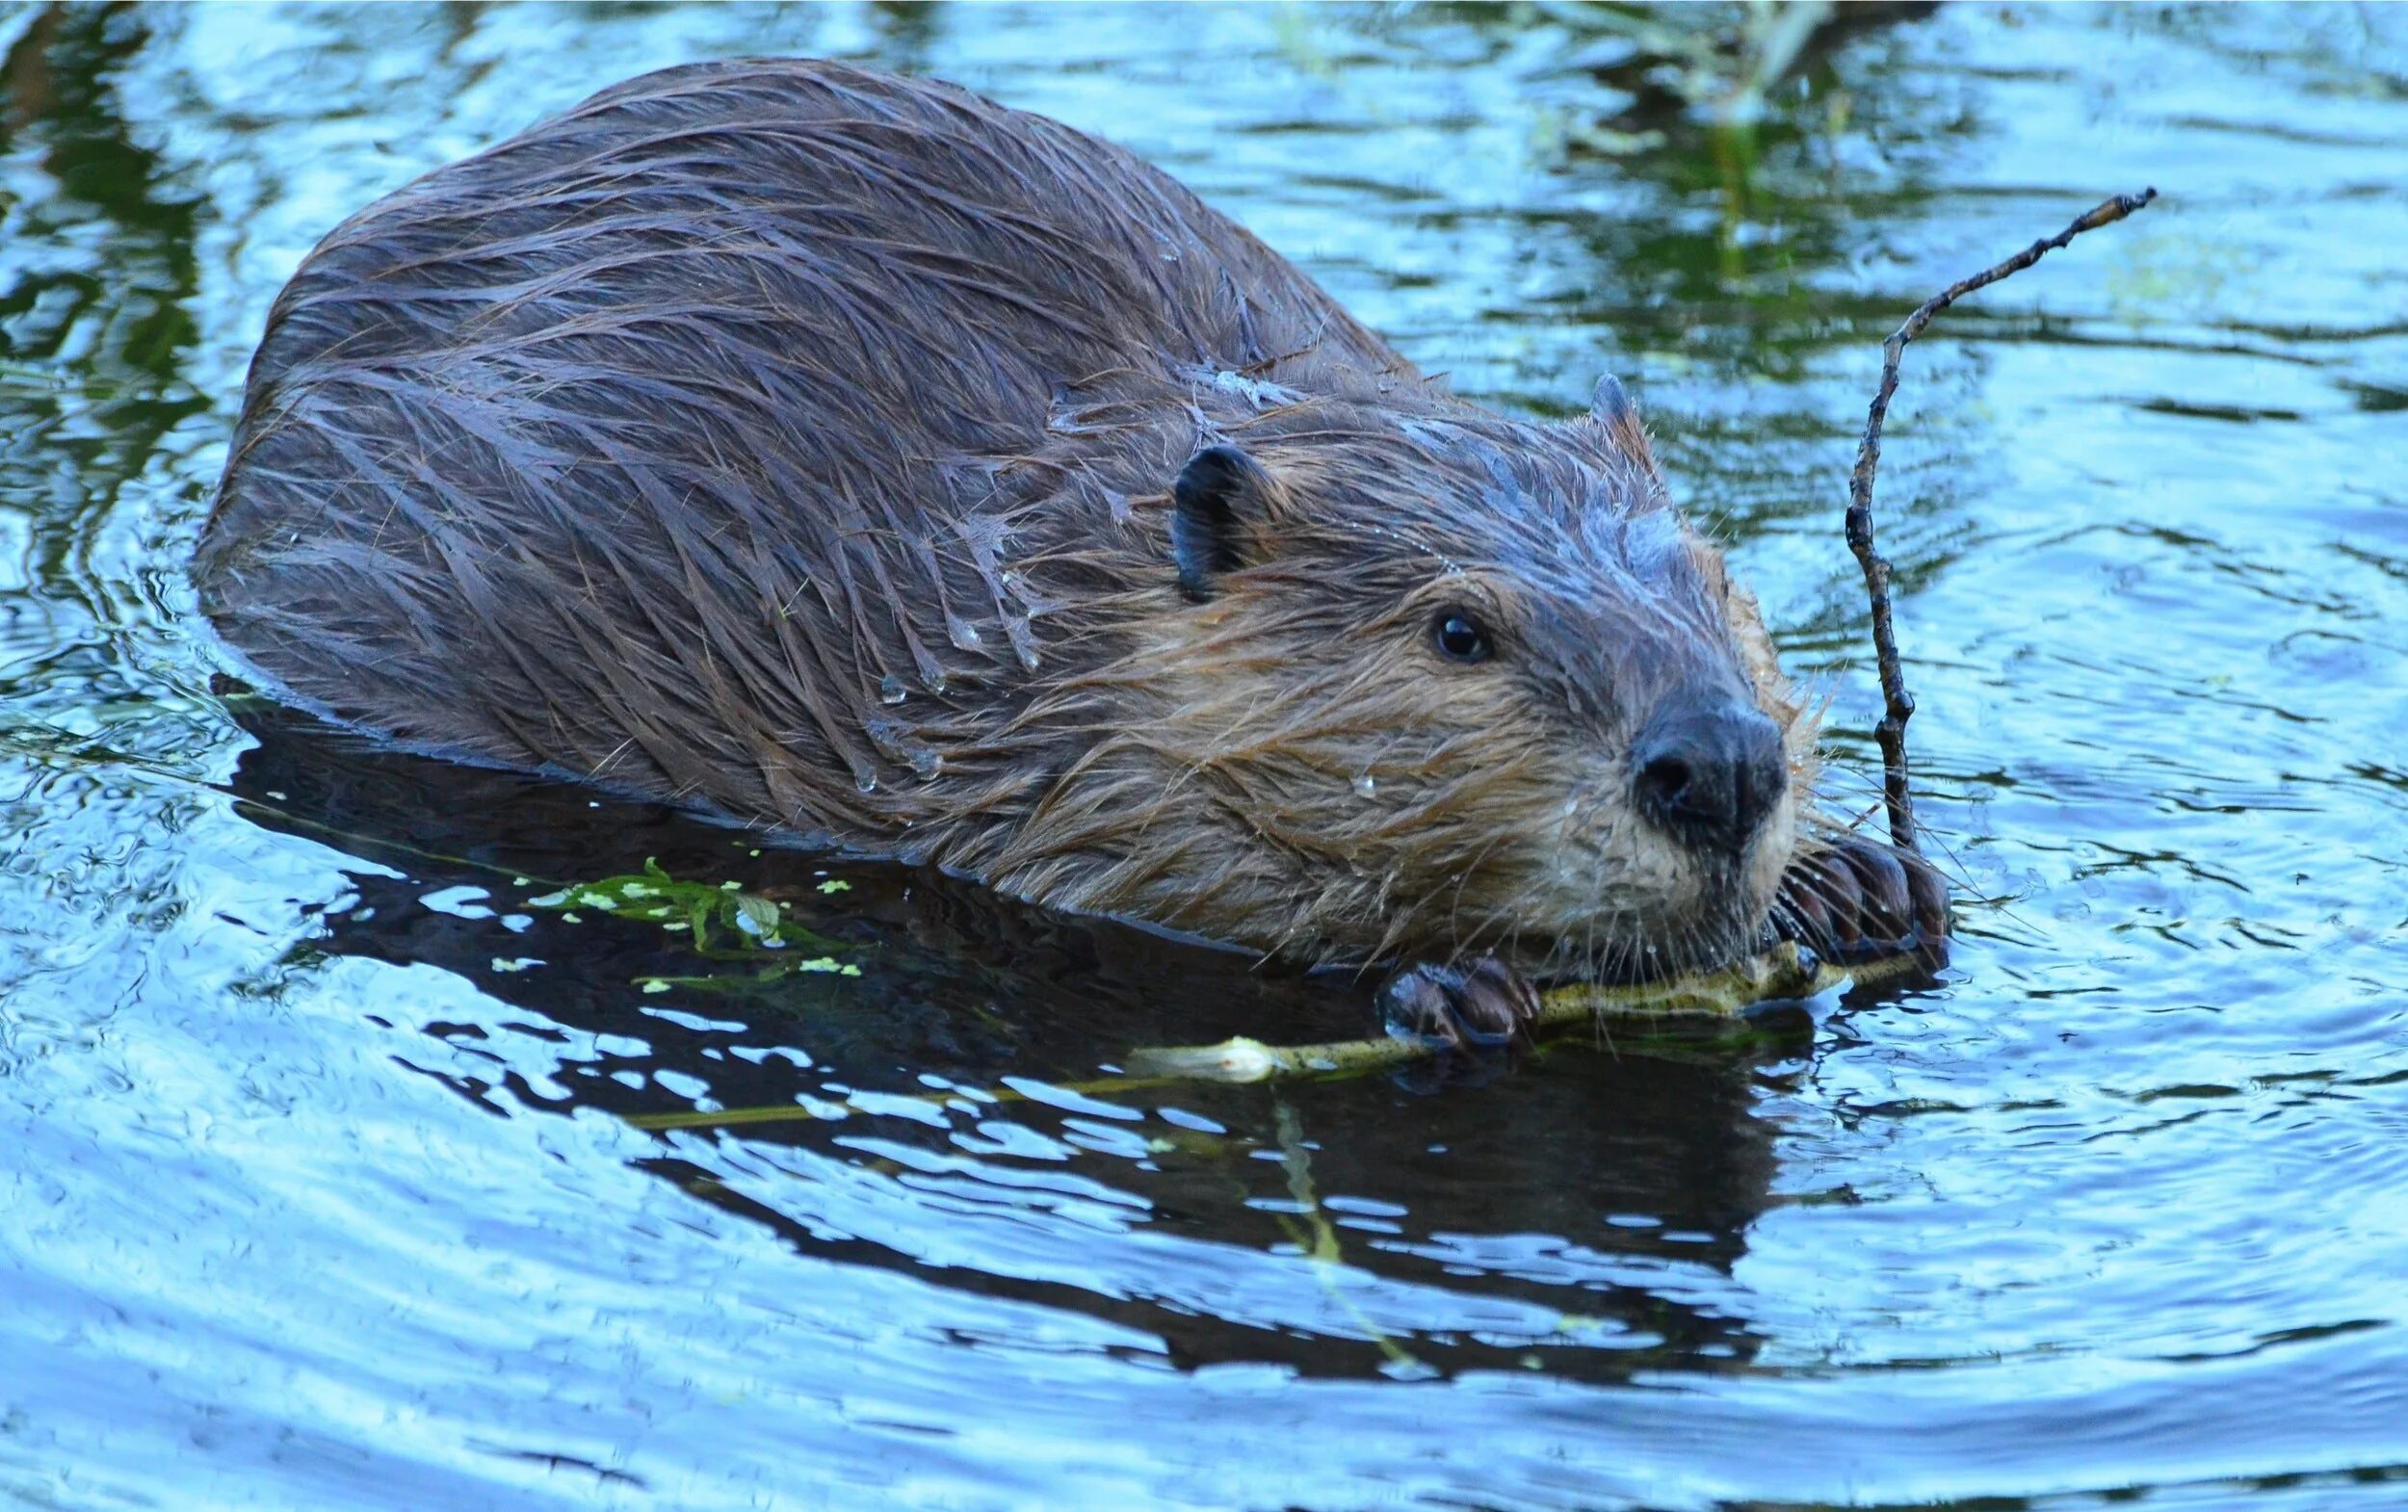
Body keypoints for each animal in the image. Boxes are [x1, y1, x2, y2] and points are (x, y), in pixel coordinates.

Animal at [197, 50, 1946, 1040]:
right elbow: (1140, 880)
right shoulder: (1037, 757)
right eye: (1460, 630)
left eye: (1717, 583)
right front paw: (1450, 982)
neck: (1061, 602)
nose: (1719, 767)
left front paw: (1859, 878)